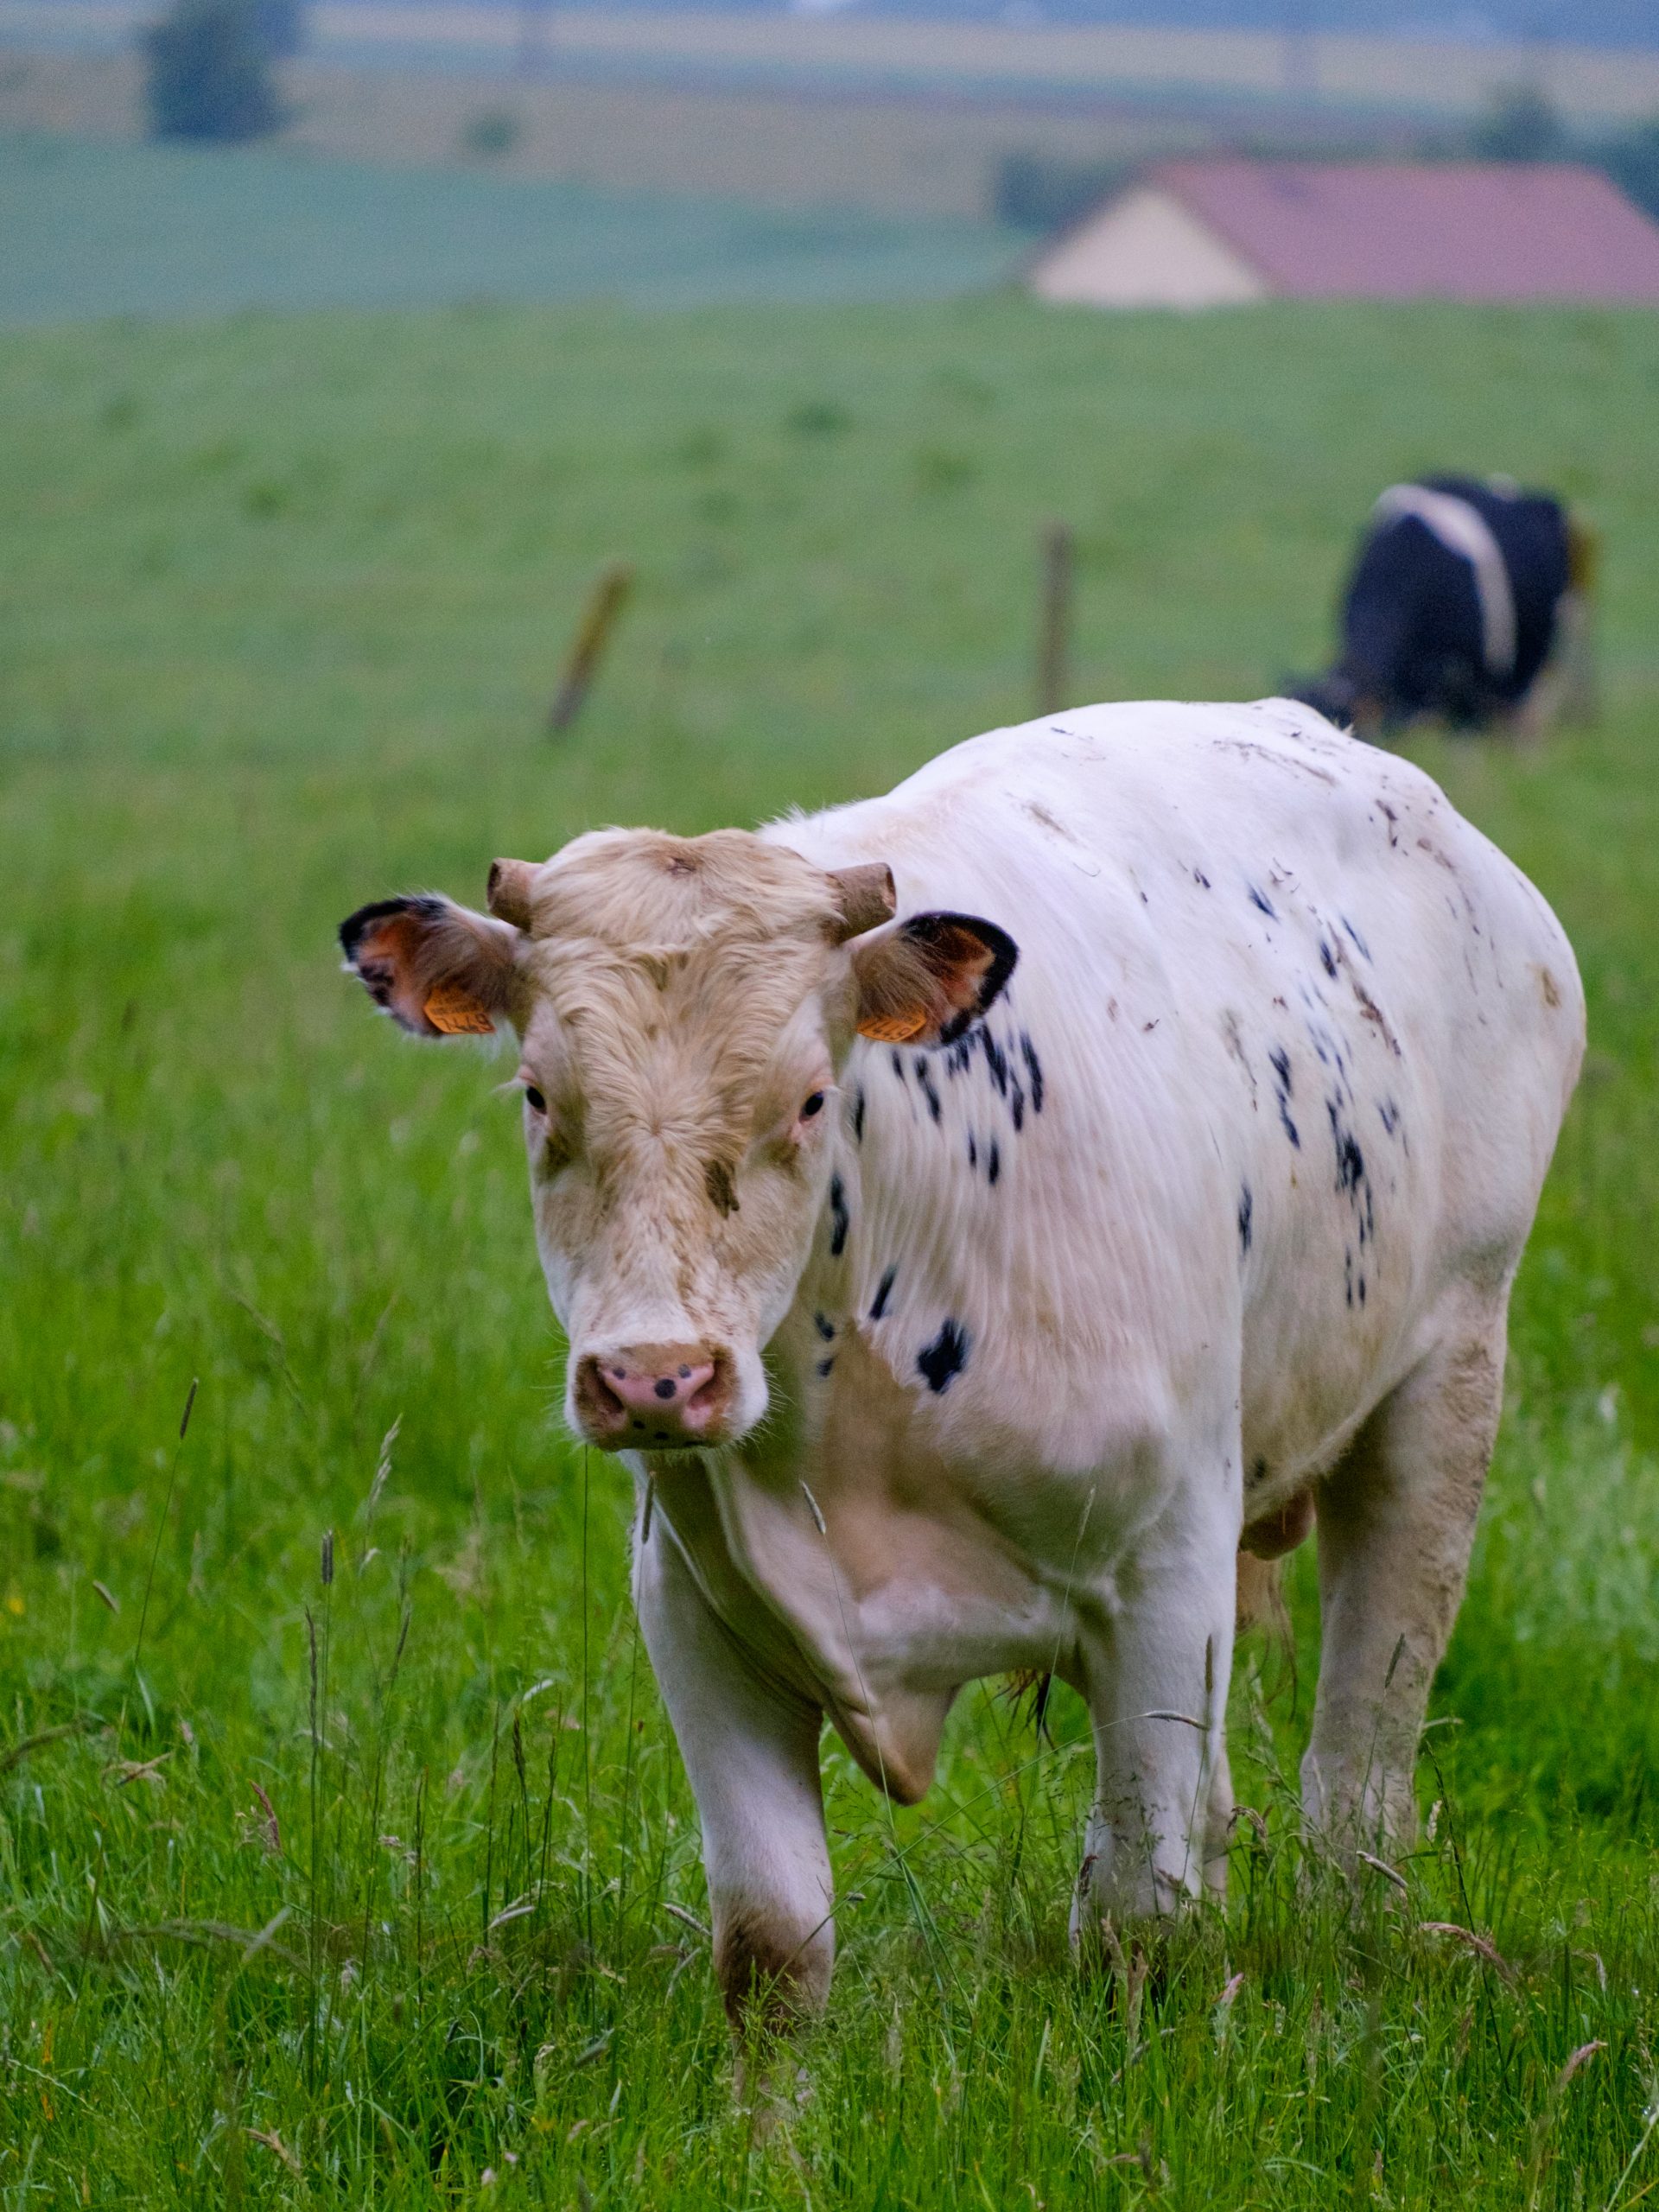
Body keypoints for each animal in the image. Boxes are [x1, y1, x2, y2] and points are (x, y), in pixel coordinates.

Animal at [339, 699, 1583, 2030]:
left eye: (811, 1099)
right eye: (537, 1096)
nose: (654, 1379)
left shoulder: (1165, 1582)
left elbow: (1139, 1921)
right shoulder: (696, 1608)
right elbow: (772, 1945)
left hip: (1447, 1382)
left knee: (1358, 1777)